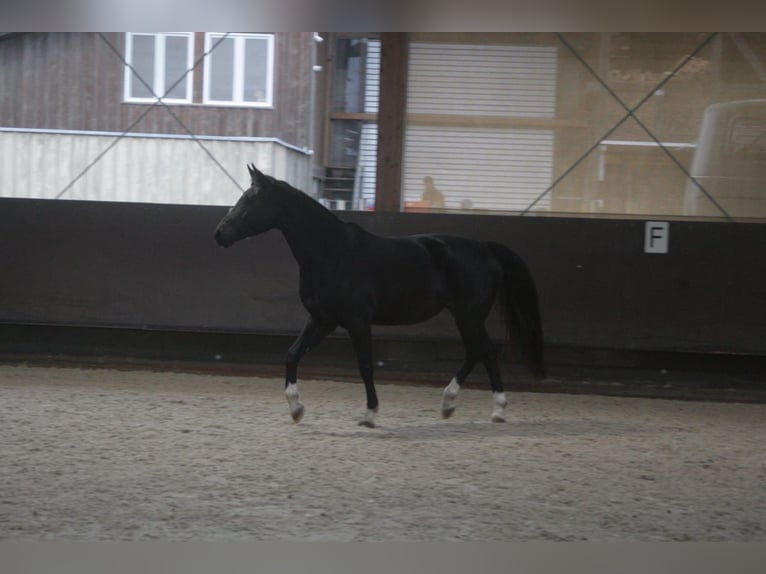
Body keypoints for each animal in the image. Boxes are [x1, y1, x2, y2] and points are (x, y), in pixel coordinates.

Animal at [214, 164, 544, 427]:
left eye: (251, 200)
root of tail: (485, 248)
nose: (219, 234)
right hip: (465, 316)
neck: (332, 254)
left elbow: (365, 366)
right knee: (476, 351)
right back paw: (449, 405)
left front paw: (370, 414)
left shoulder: (357, 323)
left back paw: (497, 409)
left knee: (485, 351)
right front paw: (296, 409)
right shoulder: (322, 320)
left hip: (469, 315)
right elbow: (292, 354)